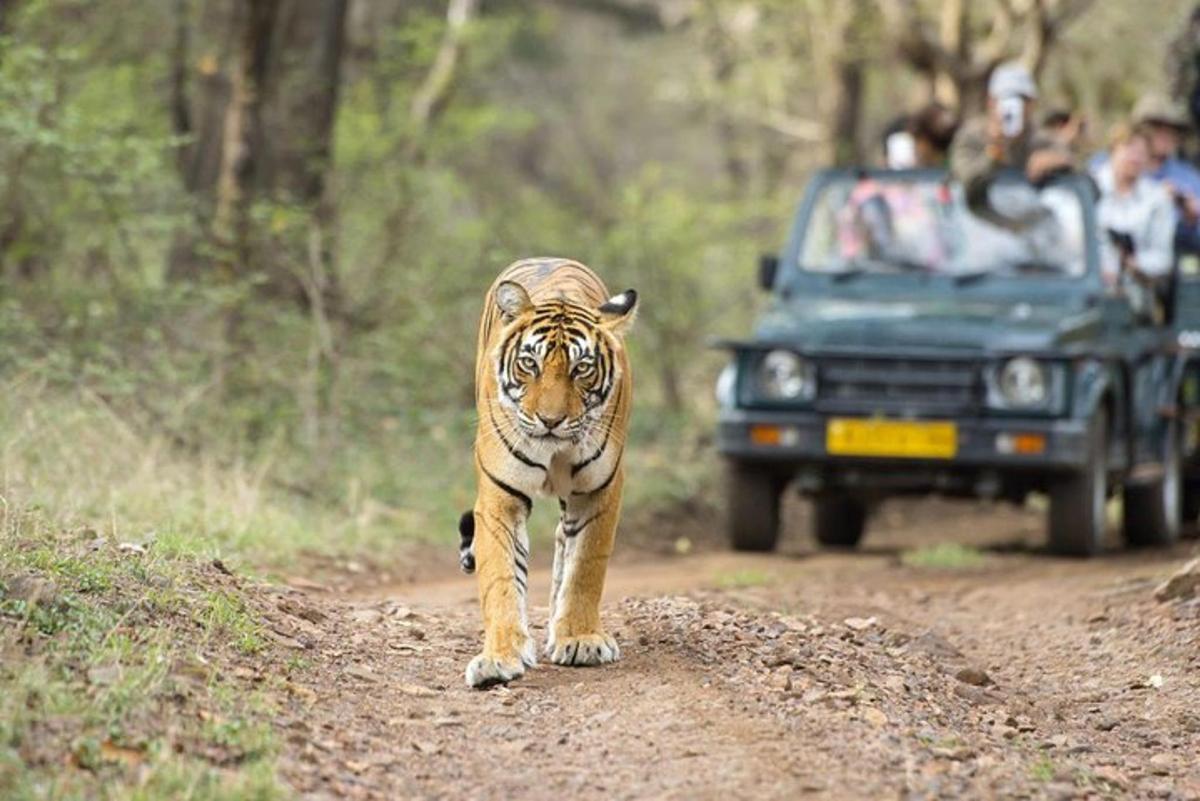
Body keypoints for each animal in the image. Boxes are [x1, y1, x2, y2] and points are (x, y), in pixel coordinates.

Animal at [458, 256, 638, 690]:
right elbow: (501, 578)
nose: (551, 421)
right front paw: (499, 658)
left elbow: (585, 567)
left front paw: (579, 639)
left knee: (563, 543)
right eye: (530, 363)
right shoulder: (499, 497)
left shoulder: (599, 491)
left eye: (582, 368)